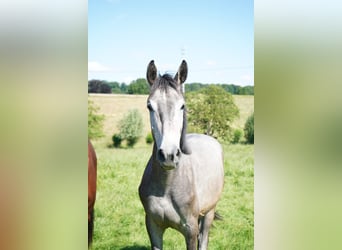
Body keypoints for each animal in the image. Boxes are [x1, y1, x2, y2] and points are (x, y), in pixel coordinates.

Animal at [139, 60, 224, 250]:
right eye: (149, 106)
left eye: (182, 105)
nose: (169, 155)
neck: (167, 185)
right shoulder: (153, 227)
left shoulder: (190, 230)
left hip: (209, 213)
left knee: (204, 239)